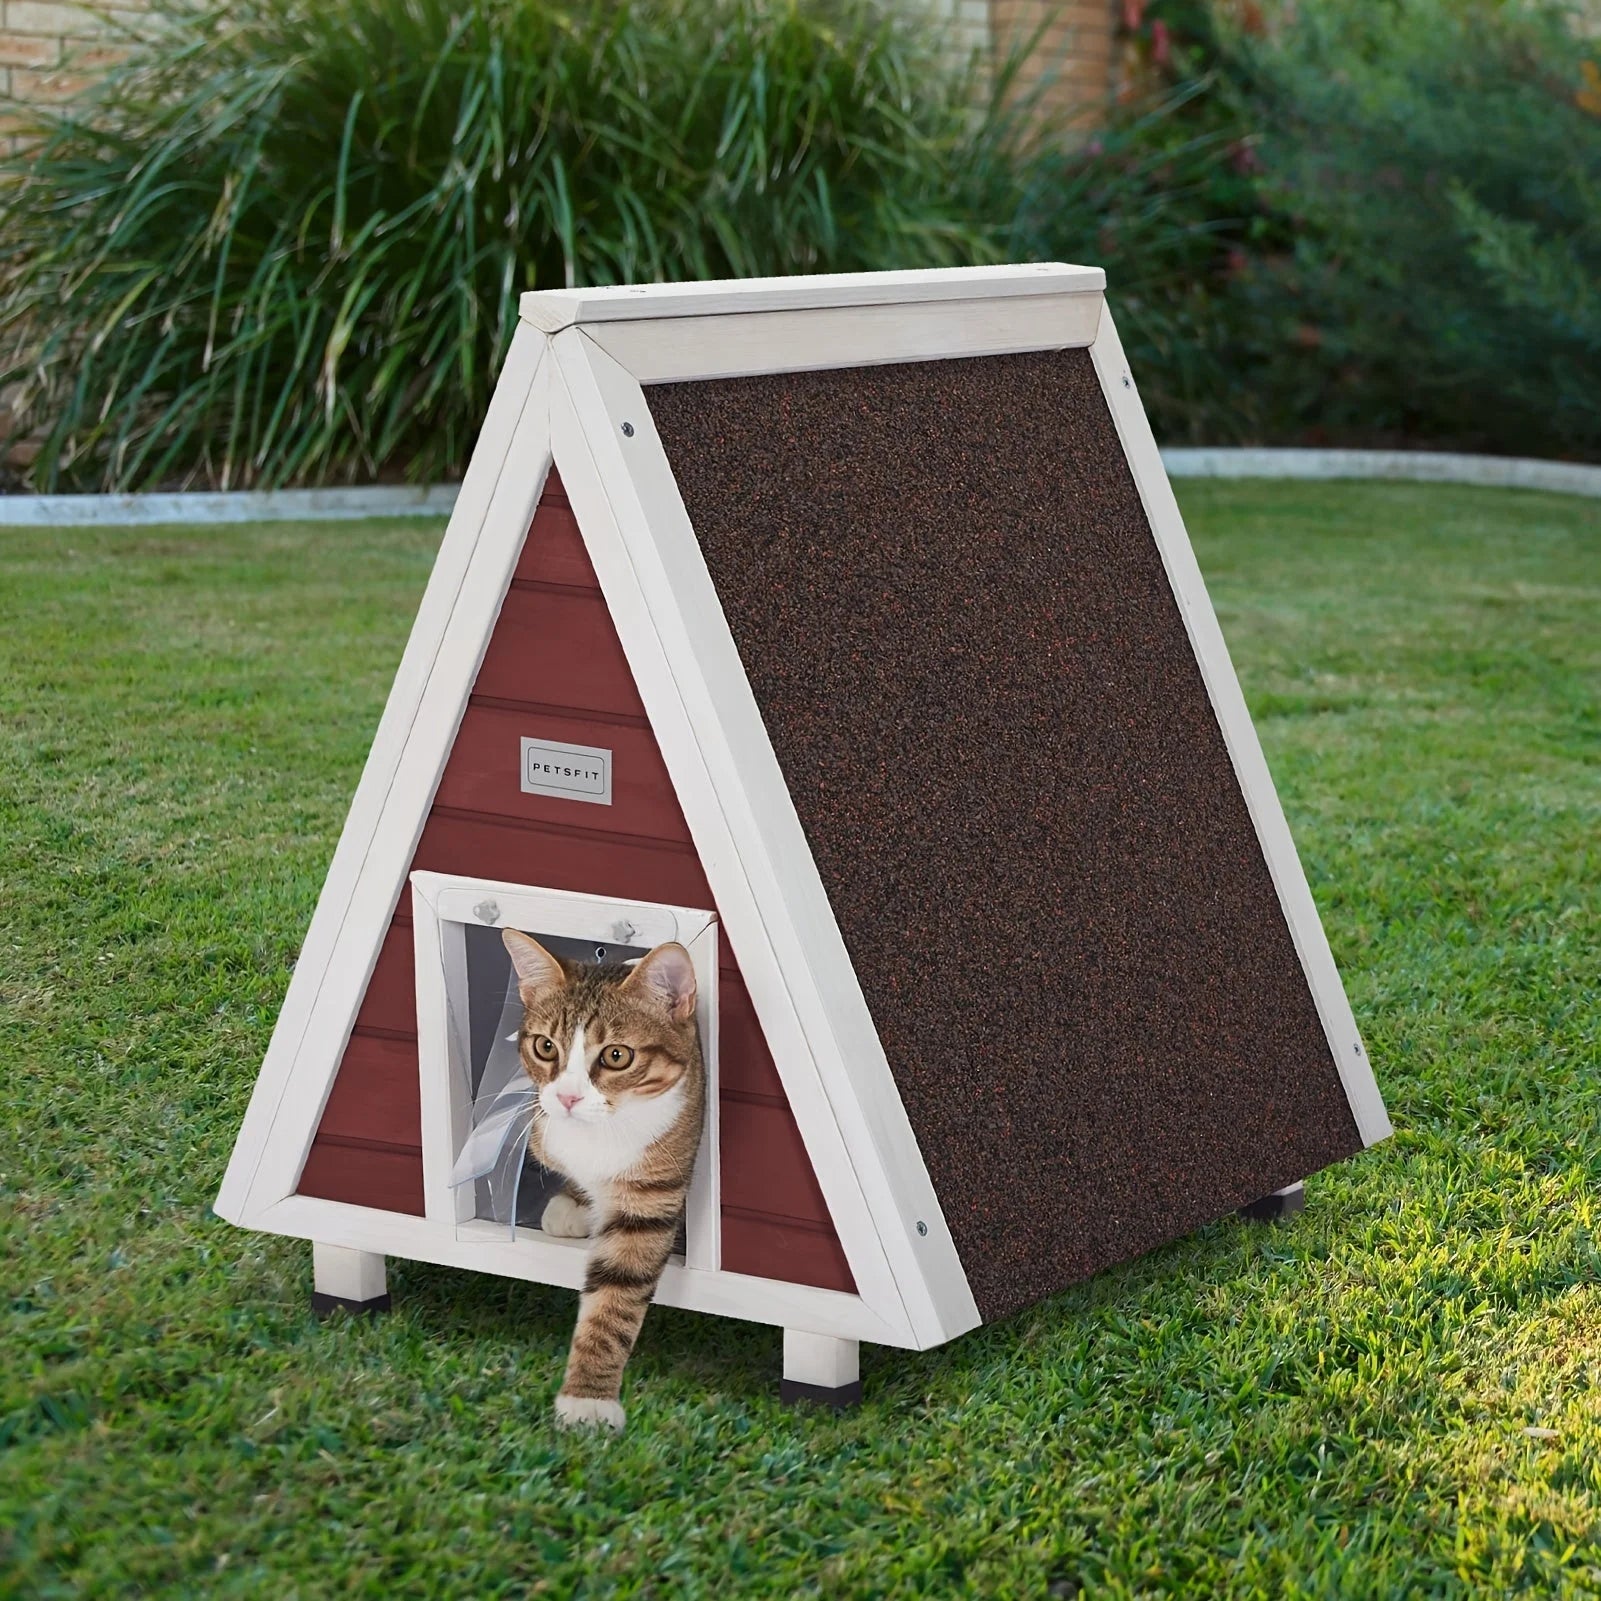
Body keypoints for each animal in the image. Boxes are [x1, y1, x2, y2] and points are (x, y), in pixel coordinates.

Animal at [499, 934, 701, 1434]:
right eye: (545, 1046)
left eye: (616, 1055)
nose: (568, 1097)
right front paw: (572, 1202)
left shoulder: (651, 1196)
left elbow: (616, 1295)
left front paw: (588, 1397)